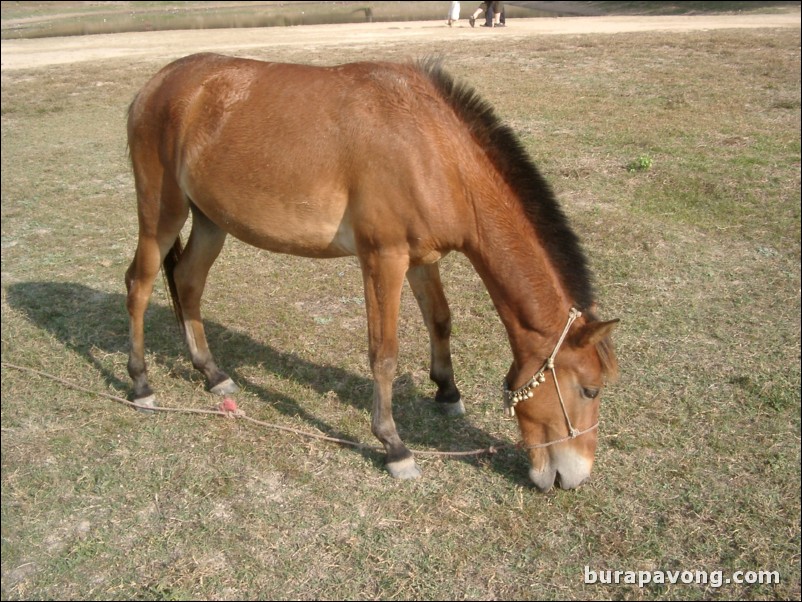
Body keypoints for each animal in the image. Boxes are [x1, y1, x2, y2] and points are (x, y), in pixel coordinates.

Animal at [125, 52, 616, 492]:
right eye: (590, 390)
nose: (574, 478)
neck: (433, 151)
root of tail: (154, 86)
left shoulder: (423, 260)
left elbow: (440, 321)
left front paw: (447, 393)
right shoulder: (384, 259)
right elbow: (384, 354)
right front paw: (394, 446)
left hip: (211, 221)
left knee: (188, 282)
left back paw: (211, 373)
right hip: (162, 214)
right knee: (139, 286)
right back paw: (141, 384)